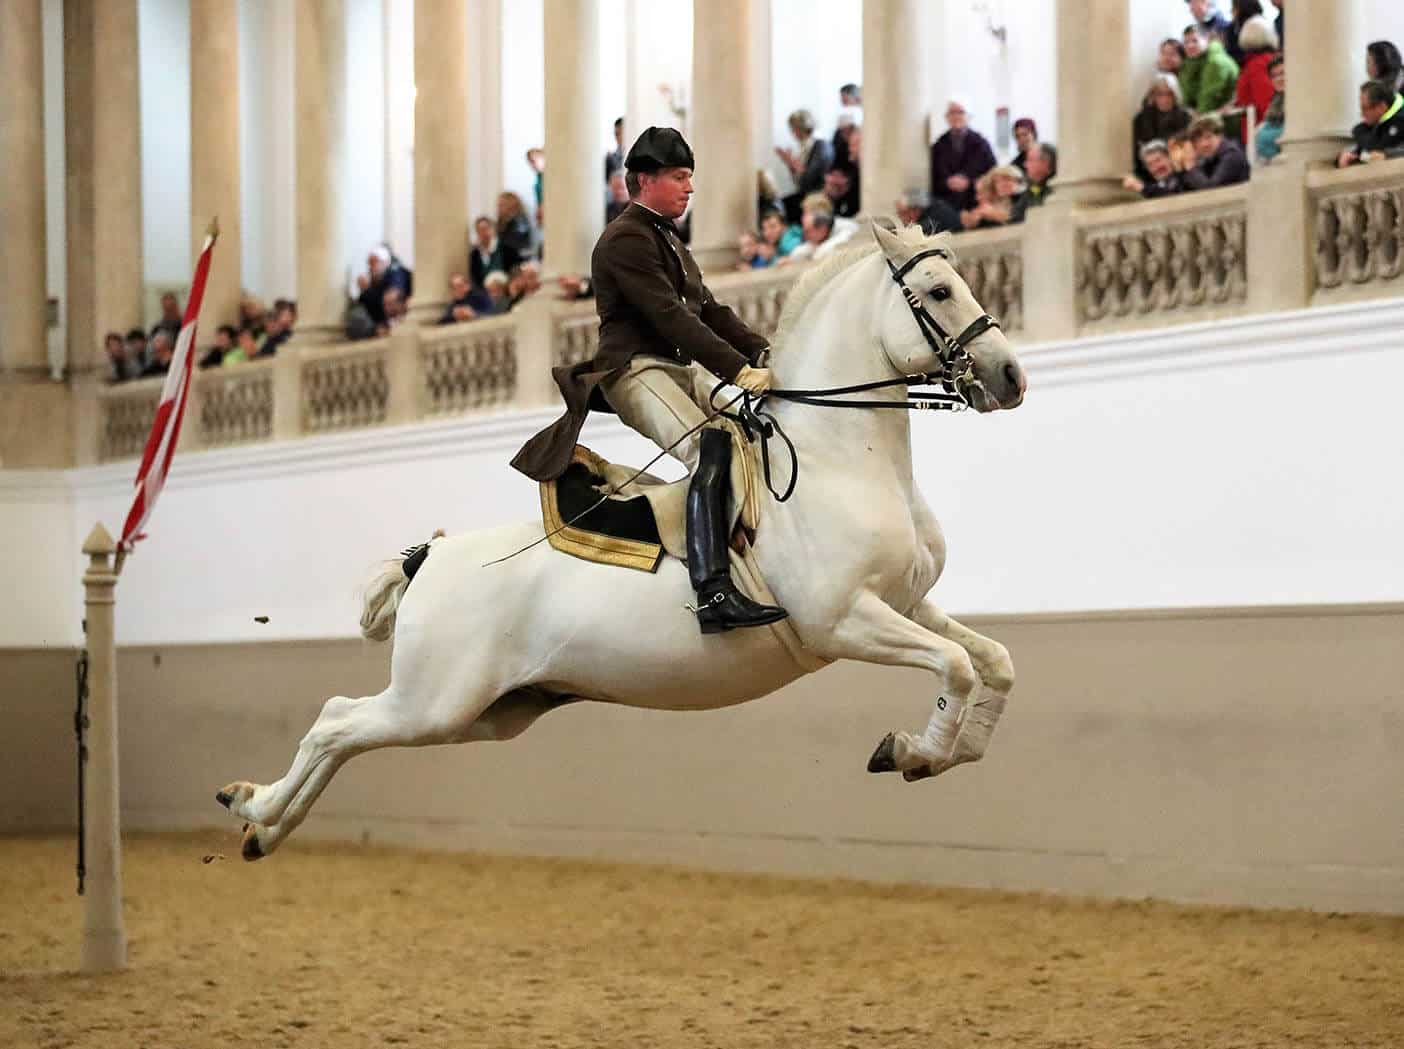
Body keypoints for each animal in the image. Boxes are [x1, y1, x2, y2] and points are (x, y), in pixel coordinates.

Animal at [216, 226, 1022, 859]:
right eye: (940, 291)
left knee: (346, 734)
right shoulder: (846, 620)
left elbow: (992, 664)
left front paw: (943, 752)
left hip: (484, 713)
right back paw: (253, 807)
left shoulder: (906, 604)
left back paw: (263, 826)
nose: (1009, 376)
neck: (840, 456)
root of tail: (431, 557)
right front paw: (914, 752)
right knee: (334, 721)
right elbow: (955, 667)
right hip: (434, 700)